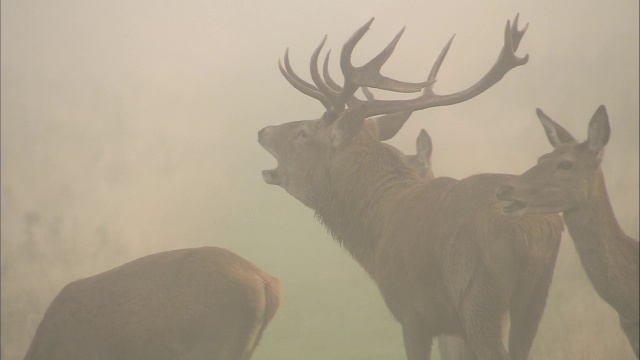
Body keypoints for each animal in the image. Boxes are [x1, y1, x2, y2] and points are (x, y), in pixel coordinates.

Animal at [258, 16, 564, 360]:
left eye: (302, 133)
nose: (262, 131)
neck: (373, 233)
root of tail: (534, 229)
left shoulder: (411, 311)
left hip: (479, 295)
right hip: (536, 298)